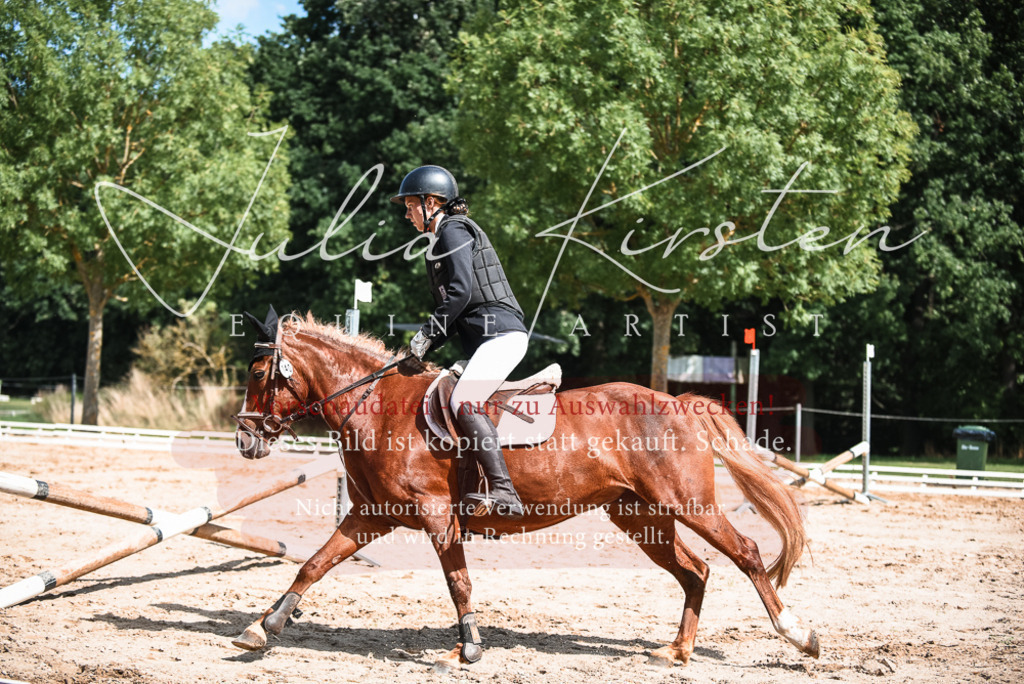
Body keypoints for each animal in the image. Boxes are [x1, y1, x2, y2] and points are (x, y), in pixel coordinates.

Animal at [230, 310, 819, 670]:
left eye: (258, 372)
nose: (243, 439)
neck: (378, 408)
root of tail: (678, 402)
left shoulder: (438, 517)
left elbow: (459, 583)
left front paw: (466, 650)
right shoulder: (372, 516)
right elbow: (314, 564)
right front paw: (264, 626)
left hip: (688, 504)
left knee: (746, 552)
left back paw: (798, 634)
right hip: (640, 517)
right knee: (695, 571)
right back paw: (675, 652)